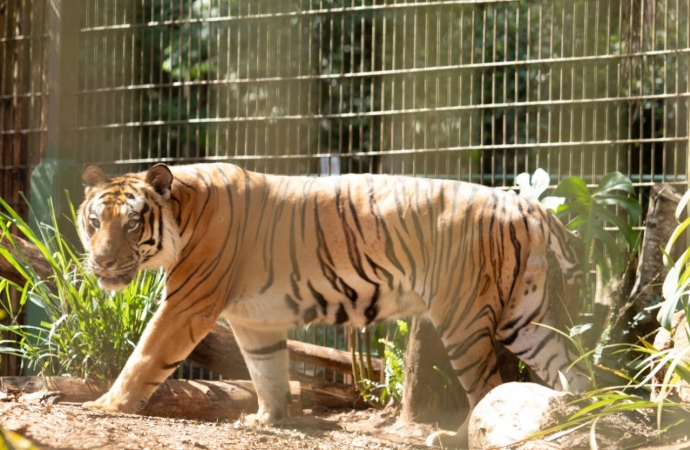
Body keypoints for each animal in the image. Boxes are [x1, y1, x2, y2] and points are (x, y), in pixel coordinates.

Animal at [79, 162, 584, 446]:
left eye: (130, 224)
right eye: (94, 221)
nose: (101, 261)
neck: (182, 210)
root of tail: (529, 205)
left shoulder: (188, 303)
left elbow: (145, 355)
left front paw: (105, 405)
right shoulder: (253, 318)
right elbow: (267, 369)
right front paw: (268, 418)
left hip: (464, 319)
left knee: (485, 390)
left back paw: (451, 436)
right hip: (528, 319)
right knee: (573, 370)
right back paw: (580, 419)